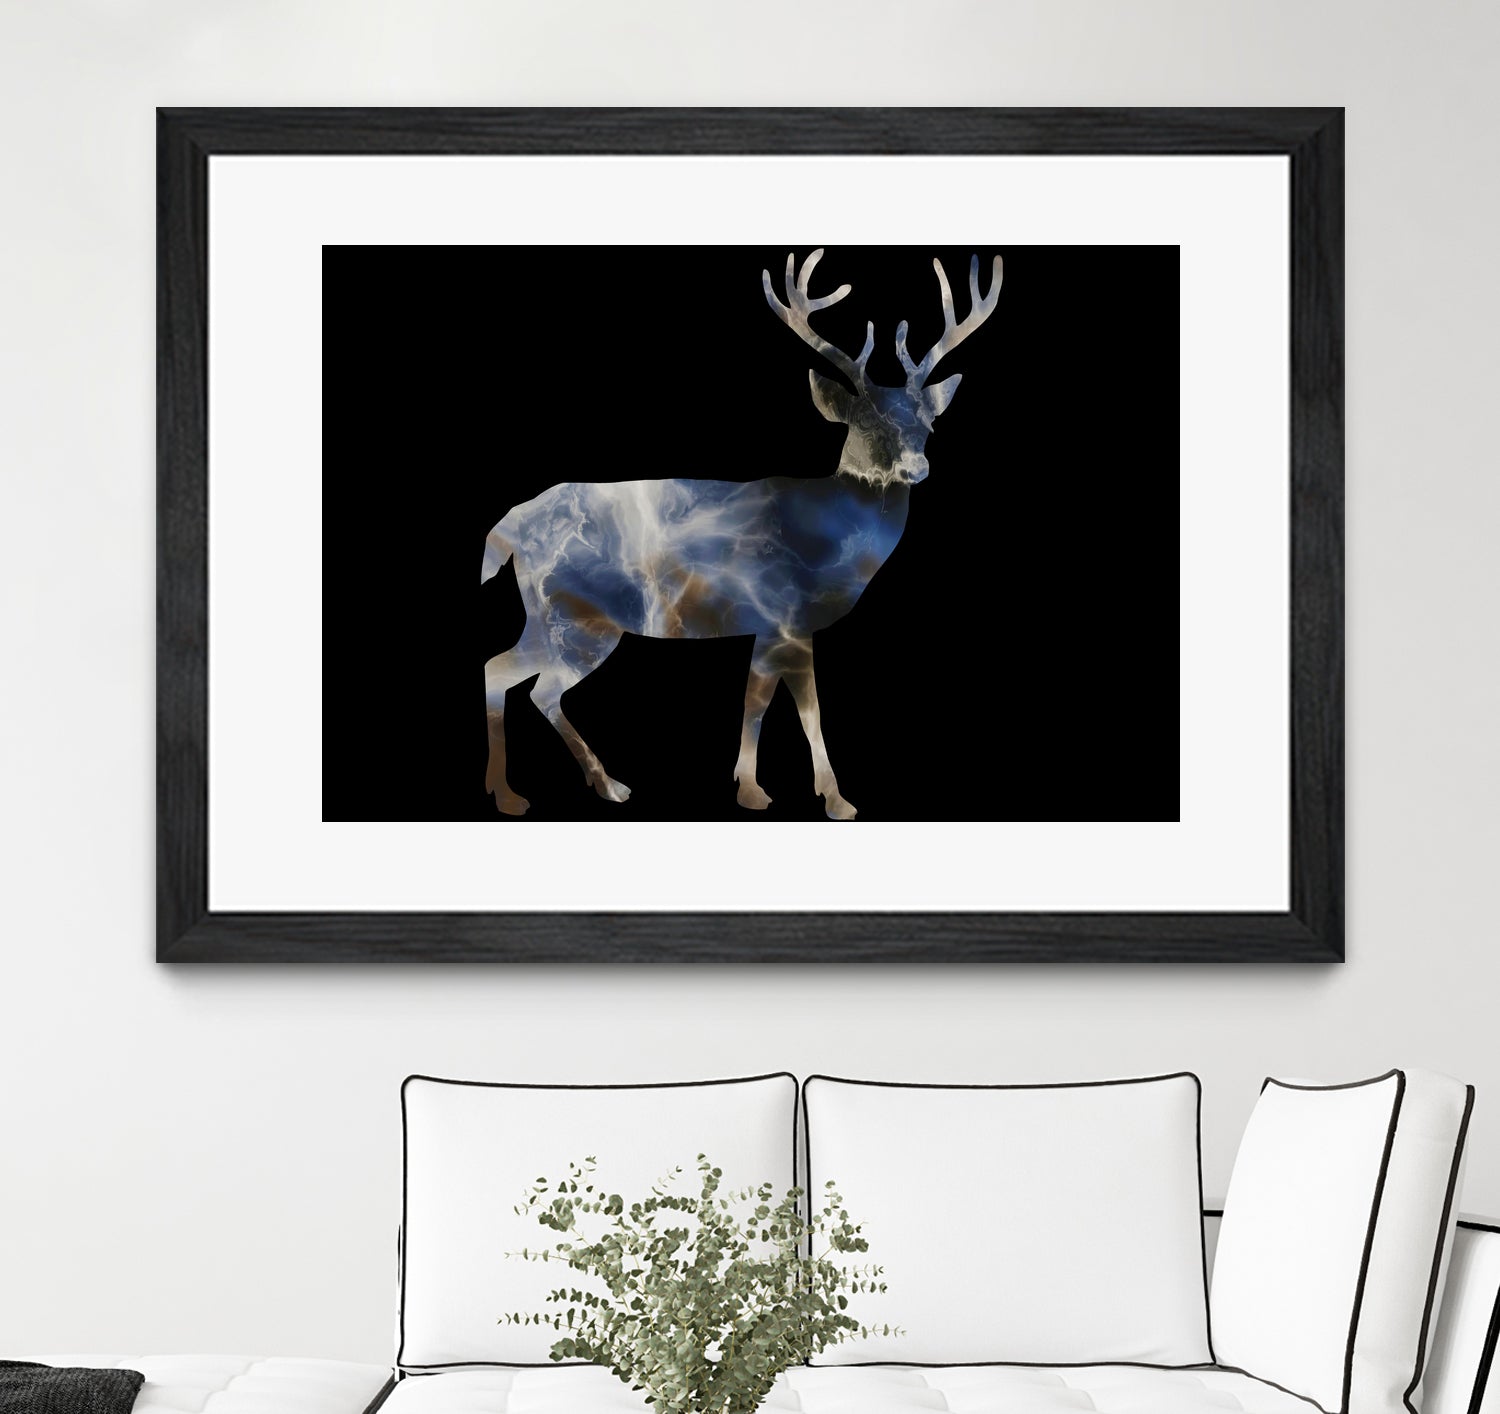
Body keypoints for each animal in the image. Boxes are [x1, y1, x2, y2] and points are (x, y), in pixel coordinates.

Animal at [480, 248, 1002, 820]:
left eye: (928, 425)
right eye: (865, 423)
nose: (917, 467)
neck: (829, 539)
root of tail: (510, 527)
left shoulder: (770, 626)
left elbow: (759, 702)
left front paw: (756, 787)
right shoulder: (787, 617)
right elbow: (798, 710)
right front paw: (824, 798)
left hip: (549, 615)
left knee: (509, 673)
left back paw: (569, 785)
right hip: (576, 617)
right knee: (530, 683)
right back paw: (547, 790)